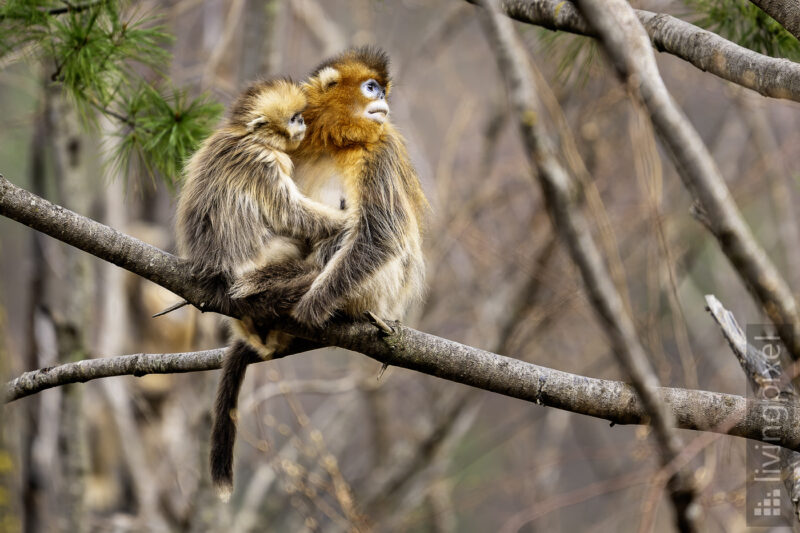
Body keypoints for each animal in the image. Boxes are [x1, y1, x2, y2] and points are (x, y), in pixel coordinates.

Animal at [209, 46, 428, 500]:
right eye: (372, 87)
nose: (385, 101)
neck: (337, 140)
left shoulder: (379, 151)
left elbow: (380, 235)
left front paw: (311, 306)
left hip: (376, 293)